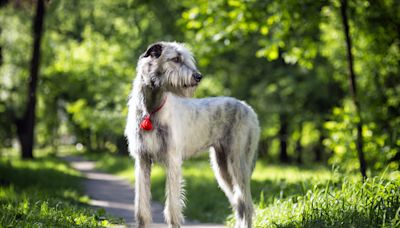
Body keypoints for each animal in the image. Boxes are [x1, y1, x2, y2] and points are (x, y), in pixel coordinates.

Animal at [125, 41, 260, 227]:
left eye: (187, 59)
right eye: (175, 59)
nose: (198, 76)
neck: (151, 109)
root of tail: (248, 108)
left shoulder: (173, 160)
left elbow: (173, 206)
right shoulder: (142, 159)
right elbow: (142, 207)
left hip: (238, 162)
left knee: (246, 205)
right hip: (222, 166)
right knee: (240, 204)